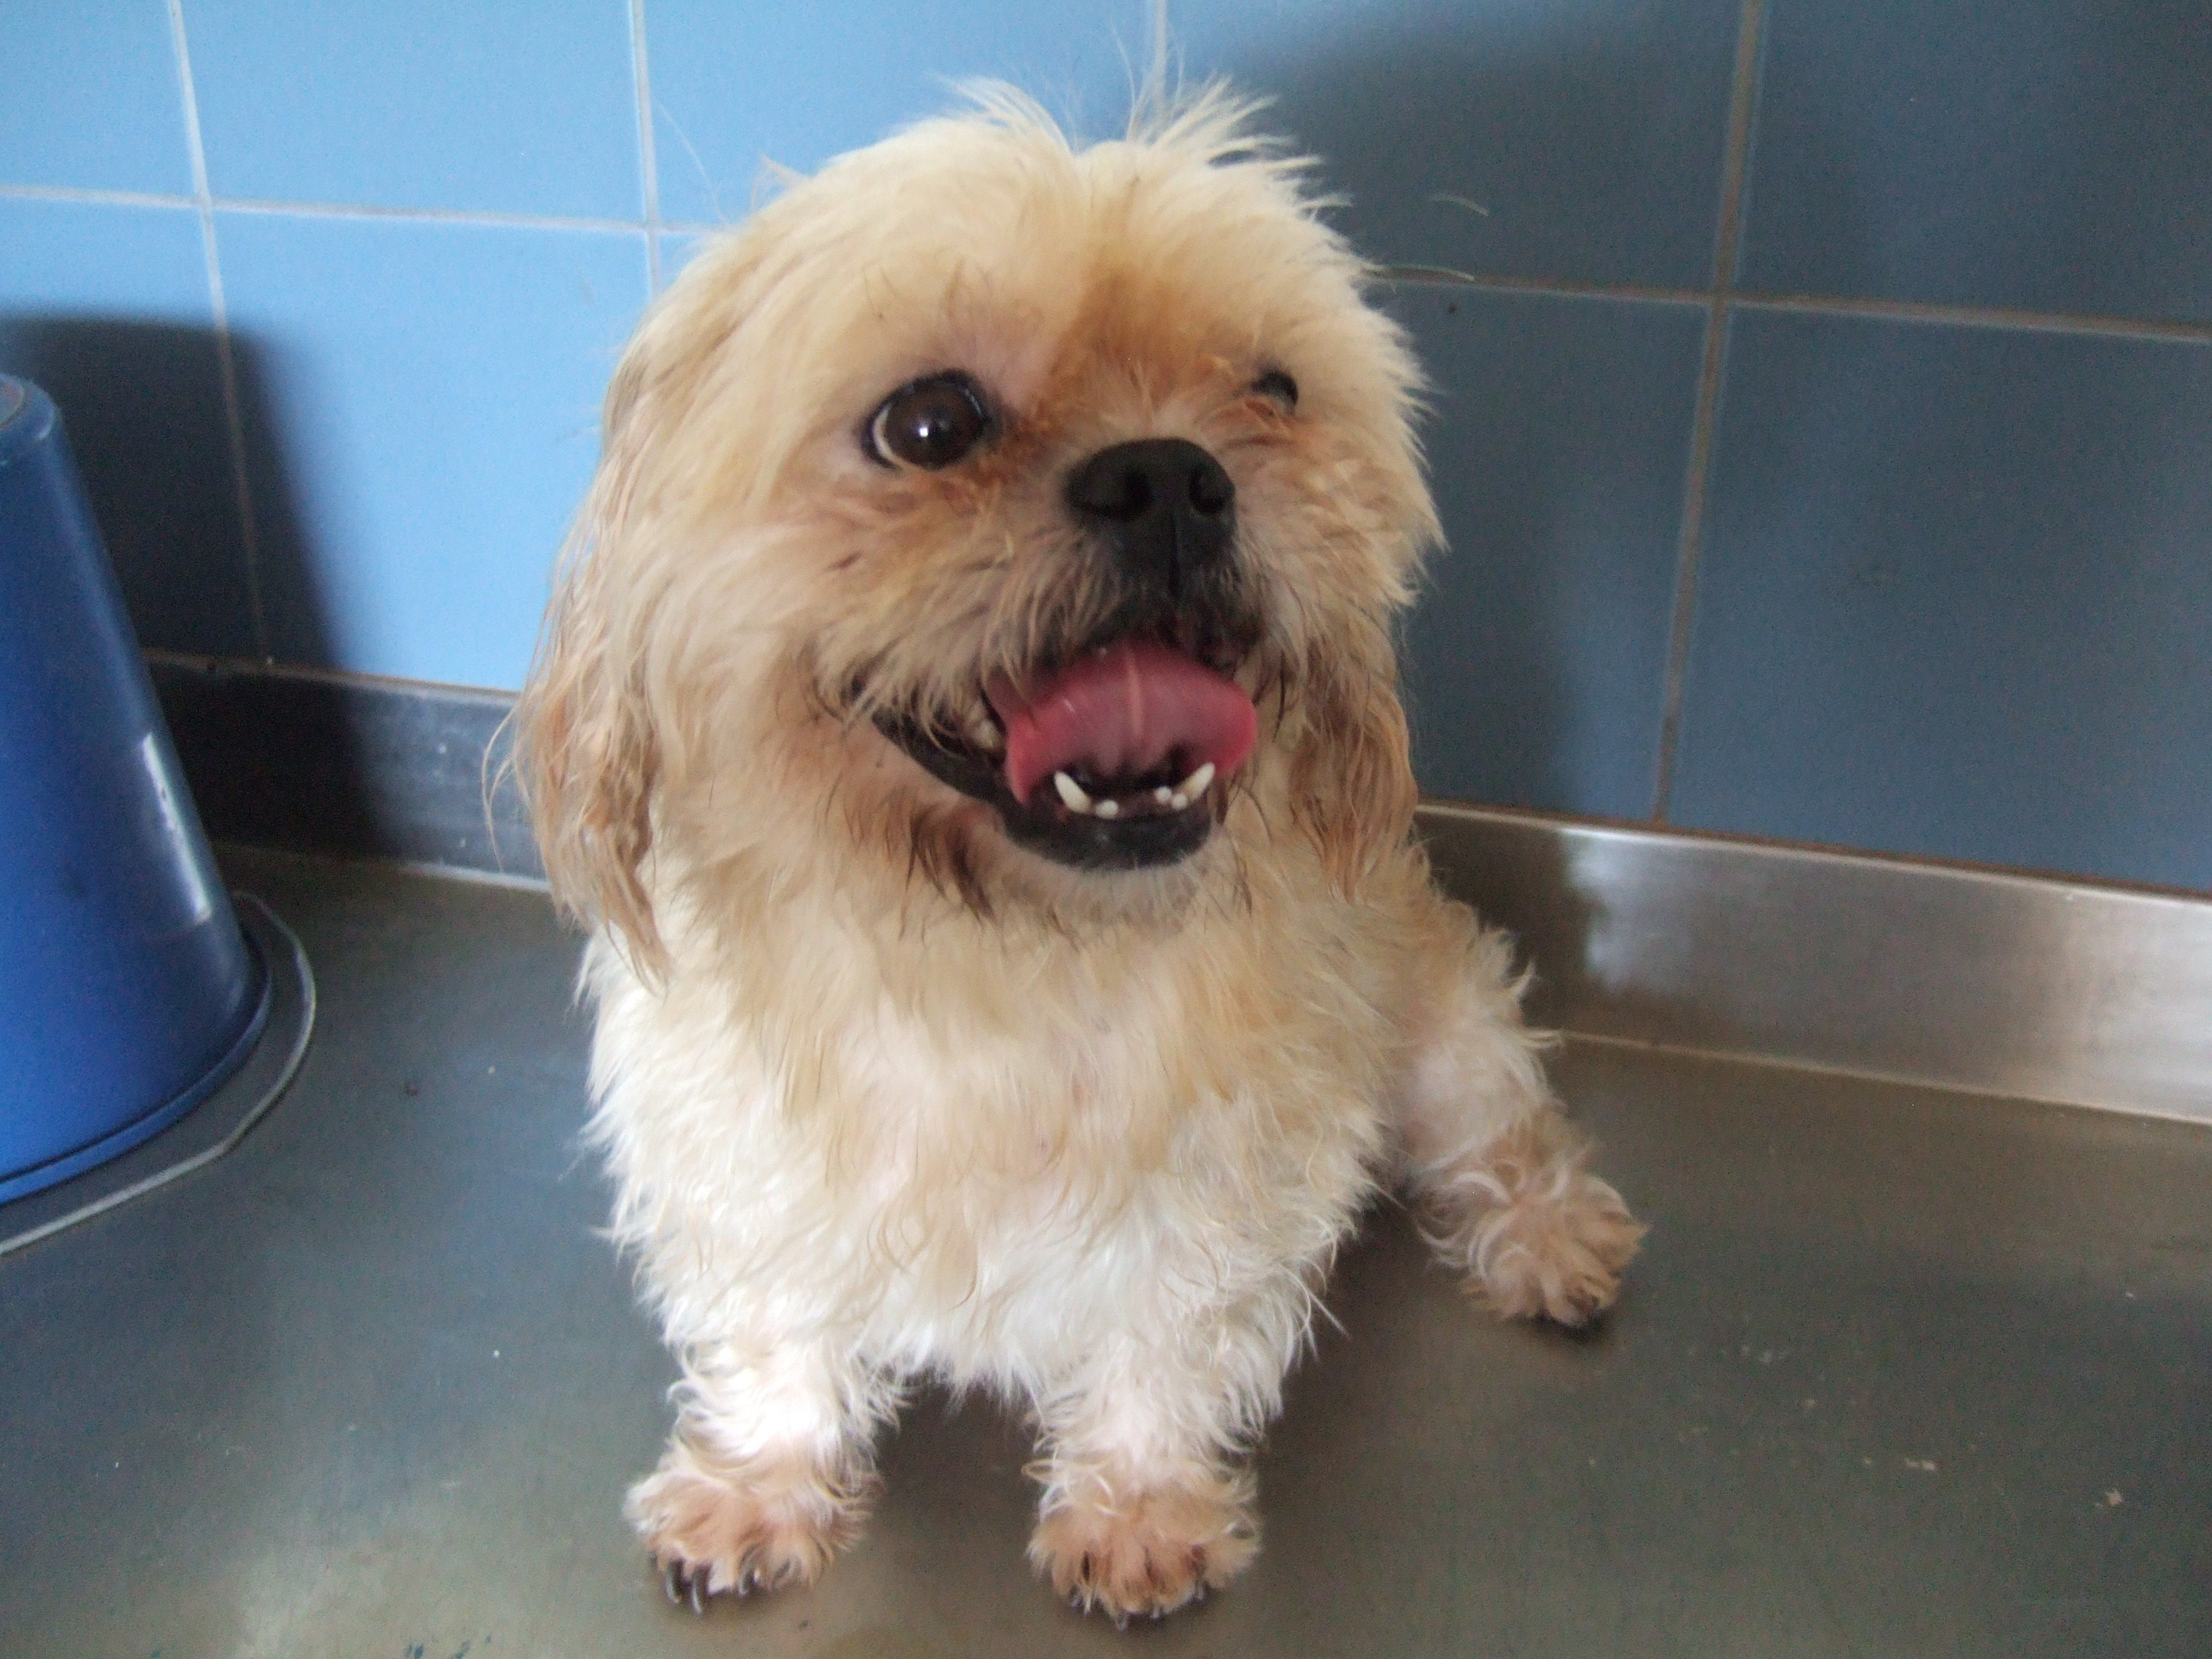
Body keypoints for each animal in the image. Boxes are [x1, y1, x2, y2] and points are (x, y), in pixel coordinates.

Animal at [514, 87, 1642, 1626]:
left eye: (1273, 390)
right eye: (929, 422)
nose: (1170, 472)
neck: (989, 956)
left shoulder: (1224, 1179)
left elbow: (1167, 1339)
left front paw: (1139, 1506)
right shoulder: (738, 1155)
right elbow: (771, 1333)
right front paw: (760, 1480)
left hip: (1443, 1037)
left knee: (1504, 1133)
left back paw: (1547, 1239)